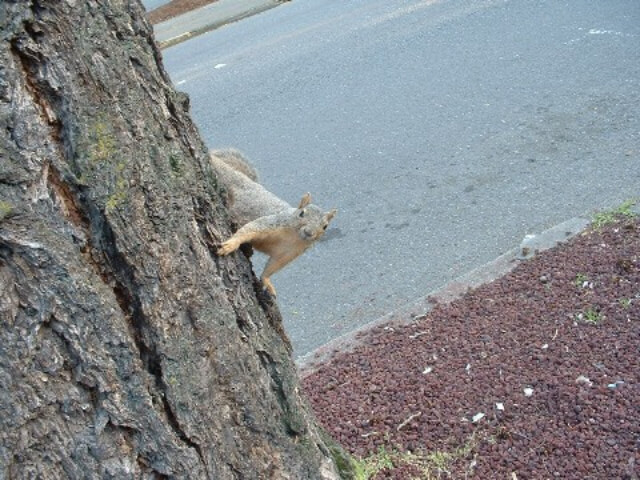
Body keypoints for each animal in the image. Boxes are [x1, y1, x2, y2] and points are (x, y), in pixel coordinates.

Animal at [211, 149, 337, 296]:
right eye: (301, 213)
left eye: (325, 226)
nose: (309, 232)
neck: (293, 237)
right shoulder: (272, 223)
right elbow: (250, 228)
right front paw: (231, 244)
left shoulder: (289, 253)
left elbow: (274, 265)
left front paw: (267, 281)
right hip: (228, 179)